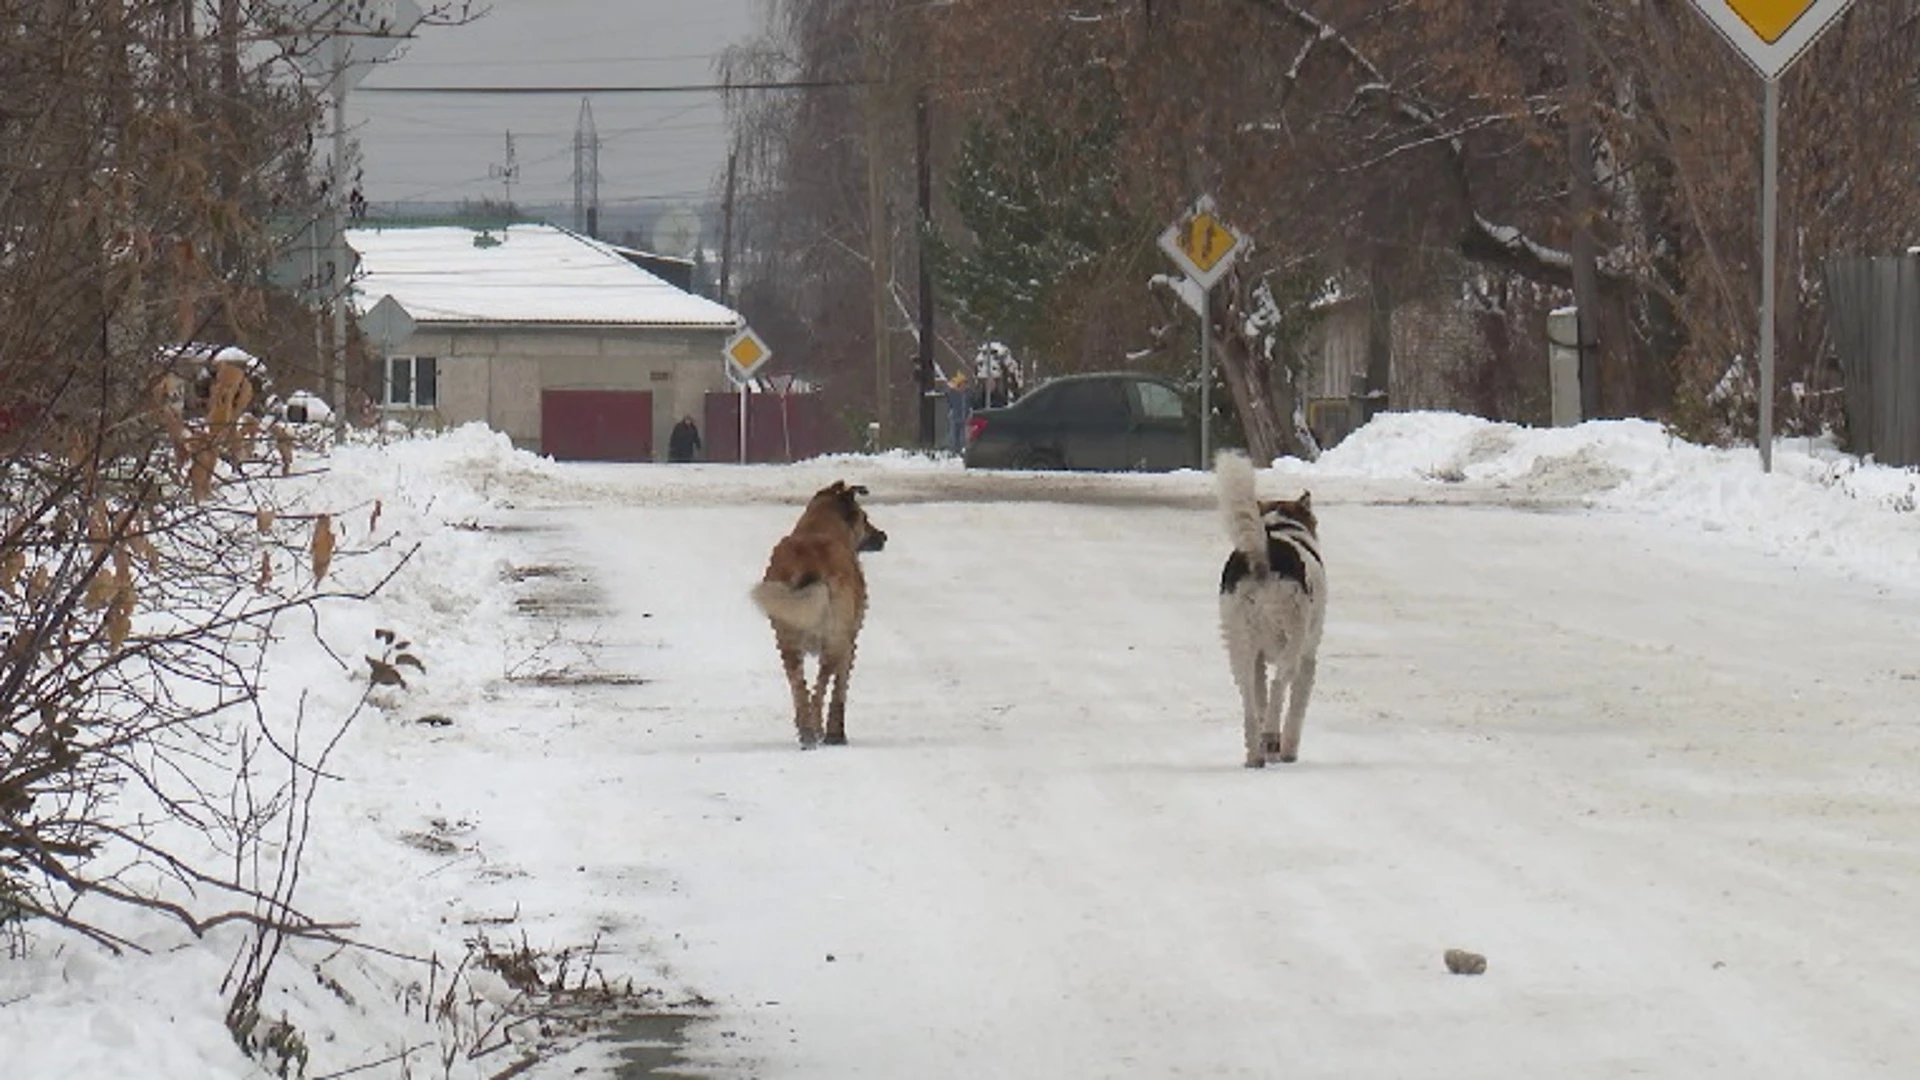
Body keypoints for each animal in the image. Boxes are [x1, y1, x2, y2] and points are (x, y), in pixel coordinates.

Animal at [756, 480, 890, 745]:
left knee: (799, 686)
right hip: (834, 639)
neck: (819, 527)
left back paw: (806, 731)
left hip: (786, 640)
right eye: (865, 518)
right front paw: (835, 733)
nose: (883, 536)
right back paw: (817, 729)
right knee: (820, 686)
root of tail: (808, 565)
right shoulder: (849, 642)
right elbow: (840, 690)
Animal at [1213, 445, 1320, 764]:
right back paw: (1272, 738)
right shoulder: (1308, 656)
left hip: (1238, 643)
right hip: (1294, 637)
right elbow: (1296, 710)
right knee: (1279, 685)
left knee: (1250, 701)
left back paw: (1255, 755)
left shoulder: (1259, 656)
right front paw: (1288, 752)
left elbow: (1259, 699)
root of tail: (1262, 555)